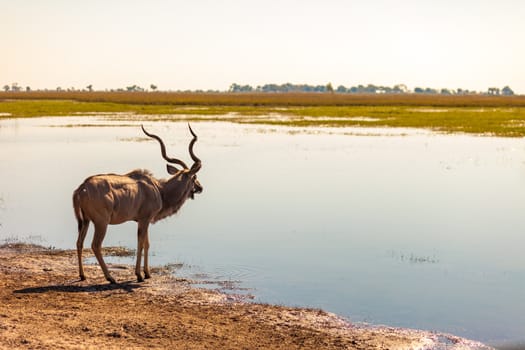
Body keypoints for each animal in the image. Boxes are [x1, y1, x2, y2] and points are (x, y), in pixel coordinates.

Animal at [73, 124, 203, 284]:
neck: (159, 189)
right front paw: (139, 275)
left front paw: (147, 273)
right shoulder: (144, 220)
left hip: (85, 221)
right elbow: (141, 244)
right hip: (101, 223)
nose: (200, 188)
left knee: (79, 243)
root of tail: (82, 188)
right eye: (194, 177)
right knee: (95, 245)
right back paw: (110, 277)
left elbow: (146, 244)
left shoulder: (143, 221)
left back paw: (83, 275)